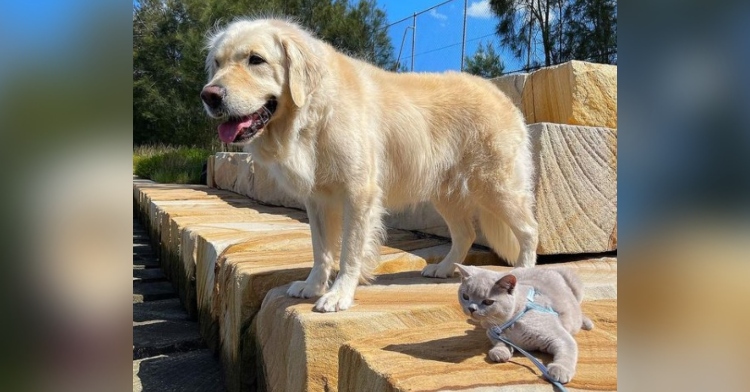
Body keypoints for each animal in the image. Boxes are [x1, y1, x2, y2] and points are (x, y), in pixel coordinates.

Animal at [458, 264, 592, 382]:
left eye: (488, 302)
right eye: (465, 296)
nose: (471, 308)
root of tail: (546, 268)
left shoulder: (560, 336)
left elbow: (568, 350)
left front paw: (560, 370)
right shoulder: (492, 333)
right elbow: (500, 342)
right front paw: (500, 352)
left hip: (576, 288)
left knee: (579, 308)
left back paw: (586, 323)